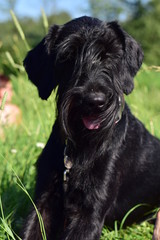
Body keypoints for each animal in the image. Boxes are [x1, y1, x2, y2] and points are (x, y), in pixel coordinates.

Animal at [22, 15, 160, 239]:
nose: (95, 101)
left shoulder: (90, 212)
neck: (80, 144)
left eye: (109, 55)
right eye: (67, 56)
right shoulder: (44, 201)